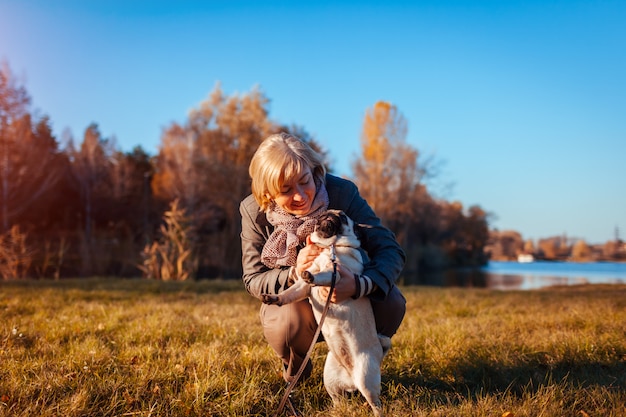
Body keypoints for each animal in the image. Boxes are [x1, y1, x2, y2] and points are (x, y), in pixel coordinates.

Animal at [260, 210, 388, 414]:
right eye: (325, 214)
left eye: (342, 217)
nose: (328, 215)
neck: (330, 248)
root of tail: (351, 378)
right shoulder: (302, 288)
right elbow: (288, 294)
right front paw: (275, 298)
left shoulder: (337, 274)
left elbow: (322, 275)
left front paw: (312, 276)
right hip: (330, 378)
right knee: (338, 399)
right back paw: (336, 411)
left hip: (366, 379)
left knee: (375, 403)